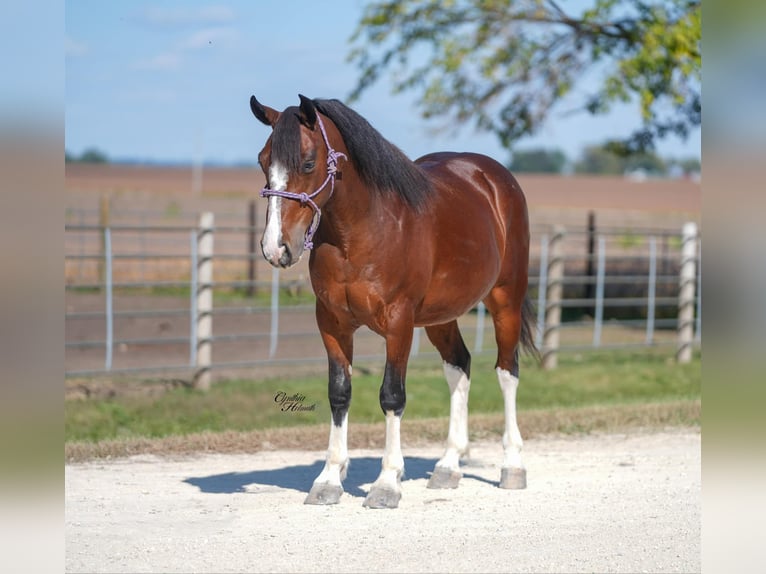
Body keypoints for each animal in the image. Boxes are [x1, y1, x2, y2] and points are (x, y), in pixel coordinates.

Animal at [249, 94, 538, 509]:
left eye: (307, 162)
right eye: (262, 161)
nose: (276, 248)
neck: (361, 232)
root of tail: (495, 179)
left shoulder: (399, 323)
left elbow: (391, 395)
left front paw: (386, 484)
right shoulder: (332, 323)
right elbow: (339, 393)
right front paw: (328, 480)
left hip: (505, 301)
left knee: (506, 371)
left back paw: (512, 466)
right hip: (440, 317)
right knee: (459, 367)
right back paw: (448, 467)